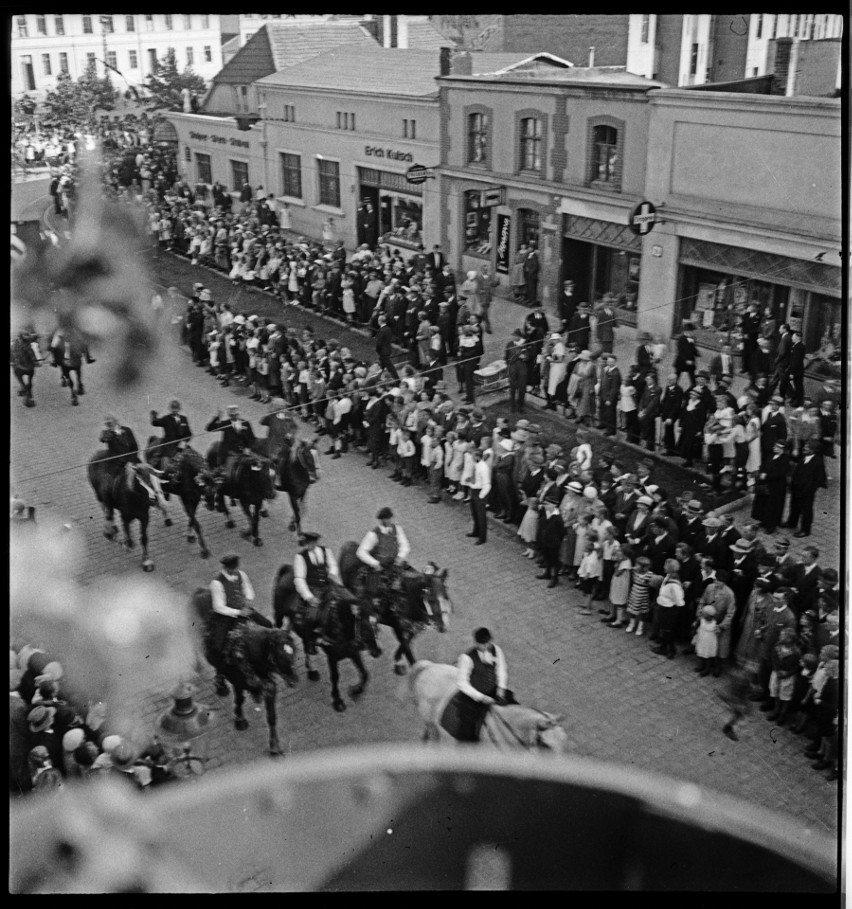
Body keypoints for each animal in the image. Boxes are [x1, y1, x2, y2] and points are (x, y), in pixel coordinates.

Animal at [190, 588, 300, 752]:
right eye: (278, 656)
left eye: (294, 651)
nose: (294, 680)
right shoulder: (238, 683)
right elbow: (239, 700)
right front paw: (240, 721)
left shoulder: (269, 688)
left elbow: (271, 716)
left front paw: (274, 746)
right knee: (217, 669)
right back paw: (221, 687)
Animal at [272, 564, 382, 712]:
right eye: (364, 626)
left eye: (377, 623)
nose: (377, 651)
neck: (339, 624)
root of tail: (287, 570)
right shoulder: (332, 656)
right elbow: (335, 677)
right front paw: (338, 701)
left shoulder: (353, 652)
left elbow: (365, 673)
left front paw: (355, 691)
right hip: (279, 617)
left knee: (305, 642)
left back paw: (311, 670)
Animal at [336, 540, 452, 672]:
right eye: (431, 600)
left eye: (446, 596)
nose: (443, 626)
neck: (405, 596)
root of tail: (348, 545)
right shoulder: (398, 627)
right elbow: (407, 649)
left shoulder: (412, 627)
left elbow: (406, 643)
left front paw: (398, 660)